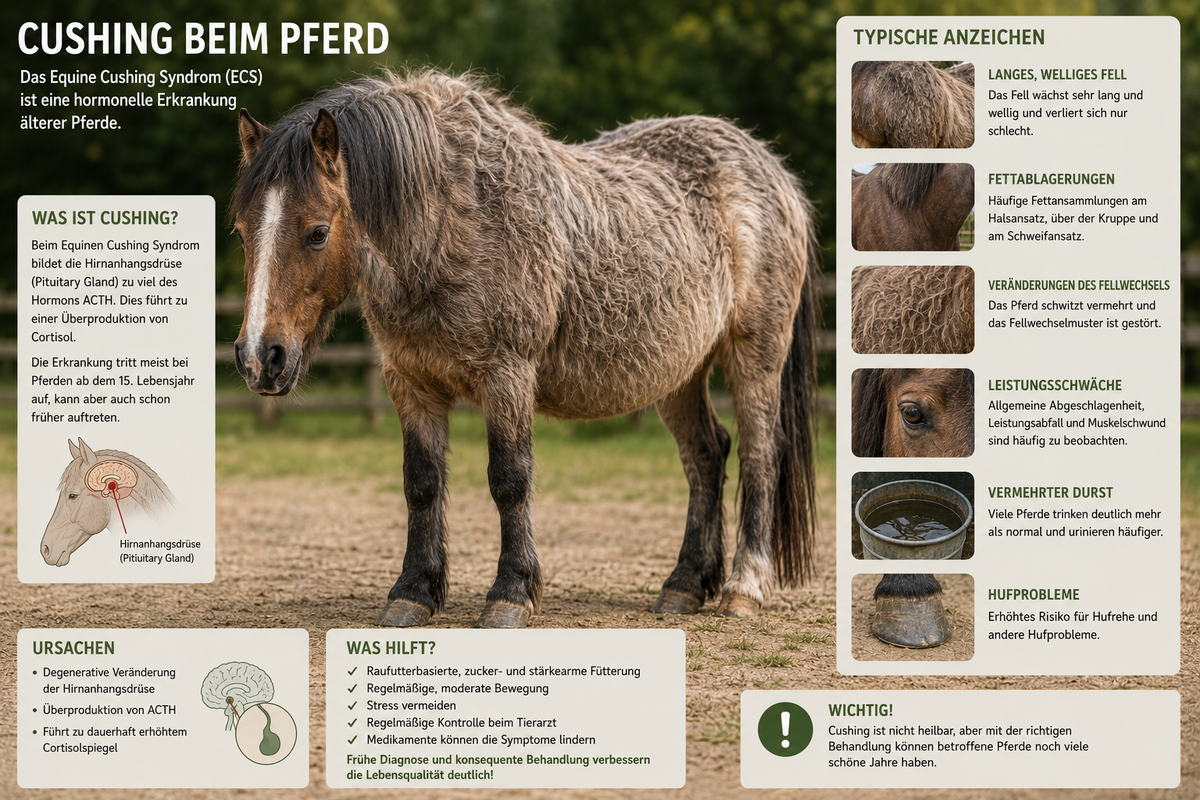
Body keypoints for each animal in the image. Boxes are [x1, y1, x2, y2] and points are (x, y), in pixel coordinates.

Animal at [230, 70, 821, 629]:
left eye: (317, 232)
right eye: (240, 231)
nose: (261, 357)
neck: (451, 221)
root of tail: (773, 171)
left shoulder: (507, 375)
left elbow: (509, 480)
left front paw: (511, 594)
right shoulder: (411, 381)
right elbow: (421, 484)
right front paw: (413, 593)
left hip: (755, 355)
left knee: (759, 454)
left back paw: (744, 587)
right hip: (678, 372)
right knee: (705, 455)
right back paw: (684, 584)